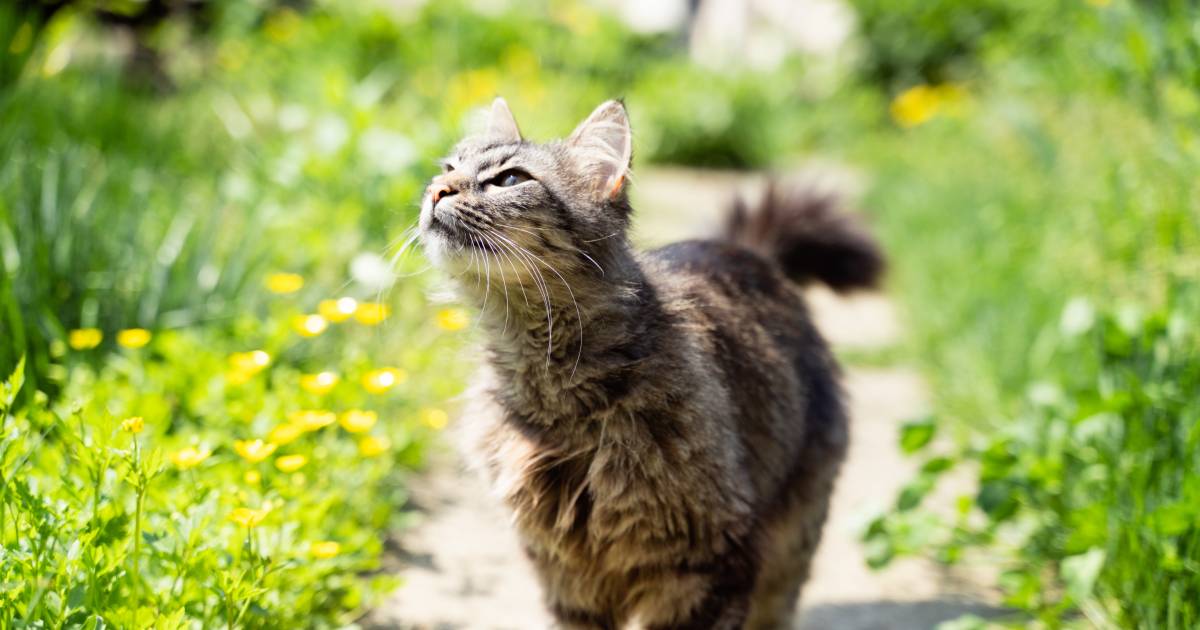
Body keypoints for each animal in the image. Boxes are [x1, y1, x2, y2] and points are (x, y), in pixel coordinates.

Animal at [420, 98, 883, 628]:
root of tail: (747, 252)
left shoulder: (708, 560)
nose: (435, 191)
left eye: (510, 179)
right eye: (448, 169)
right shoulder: (566, 574)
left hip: (789, 543)